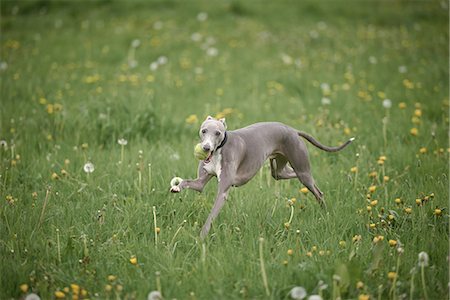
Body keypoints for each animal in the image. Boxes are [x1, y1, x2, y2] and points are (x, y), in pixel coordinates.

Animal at [170, 116, 356, 238]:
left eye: (218, 133)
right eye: (204, 131)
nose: (206, 148)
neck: (219, 151)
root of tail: (293, 130)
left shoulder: (223, 192)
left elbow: (211, 214)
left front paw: (202, 236)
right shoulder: (200, 182)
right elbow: (190, 183)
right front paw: (176, 186)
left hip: (300, 165)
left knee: (316, 188)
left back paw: (326, 212)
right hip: (280, 169)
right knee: (289, 174)